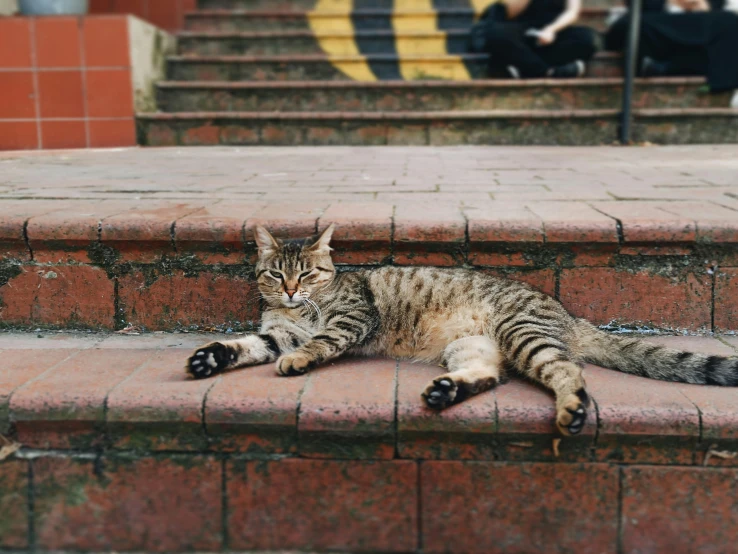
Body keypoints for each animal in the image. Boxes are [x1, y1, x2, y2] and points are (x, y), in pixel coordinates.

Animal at [185, 224, 736, 436]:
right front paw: (210, 357)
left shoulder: (351, 317)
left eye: (308, 274)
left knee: (568, 374)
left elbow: (320, 342)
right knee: (492, 375)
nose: (292, 291)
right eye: (275, 274)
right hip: (473, 346)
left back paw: (573, 410)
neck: (302, 311)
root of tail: (565, 312)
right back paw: (446, 391)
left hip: (524, 333)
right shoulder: (278, 330)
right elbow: (247, 344)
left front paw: (298, 360)